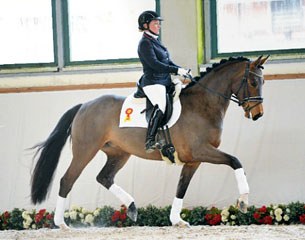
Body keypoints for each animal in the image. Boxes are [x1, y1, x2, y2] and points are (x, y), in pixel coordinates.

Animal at [31, 55, 268, 228]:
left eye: (263, 81)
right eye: (252, 81)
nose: (258, 114)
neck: (203, 105)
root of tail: (84, 105)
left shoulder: (193, 160)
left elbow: (181, 188)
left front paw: (177, 220)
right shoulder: (201, 150)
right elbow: (235, 161)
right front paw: (243, 201)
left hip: (119, 153)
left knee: (104, 177)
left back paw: (132, 207)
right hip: (85, 151)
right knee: (67, 180)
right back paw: (61, 224)